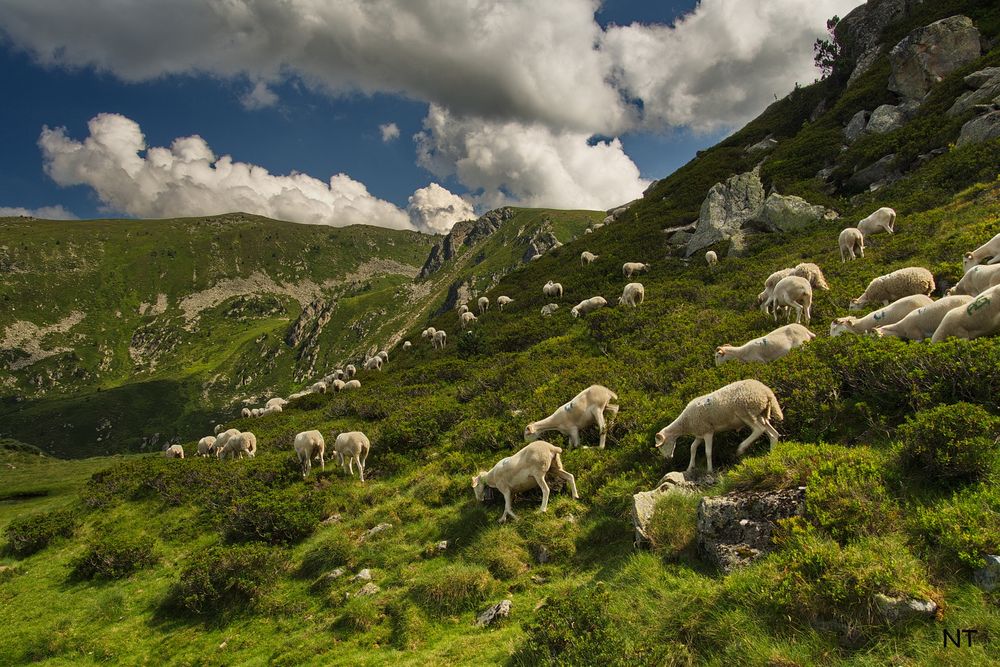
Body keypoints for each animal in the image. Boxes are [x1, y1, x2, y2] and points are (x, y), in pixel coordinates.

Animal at [652, 380, 784, 474]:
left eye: (661, 445)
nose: (668, 458)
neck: (686, 422)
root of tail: (767, 392)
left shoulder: (708, 432)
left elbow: (708, 452)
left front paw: (710, 470)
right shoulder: (700, 433)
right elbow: (692, 448)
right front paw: (690, 468)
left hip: (746, 411)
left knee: (758, 430)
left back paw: (741, 448)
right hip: (760, 414)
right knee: (773, 434)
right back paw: (772, 454)